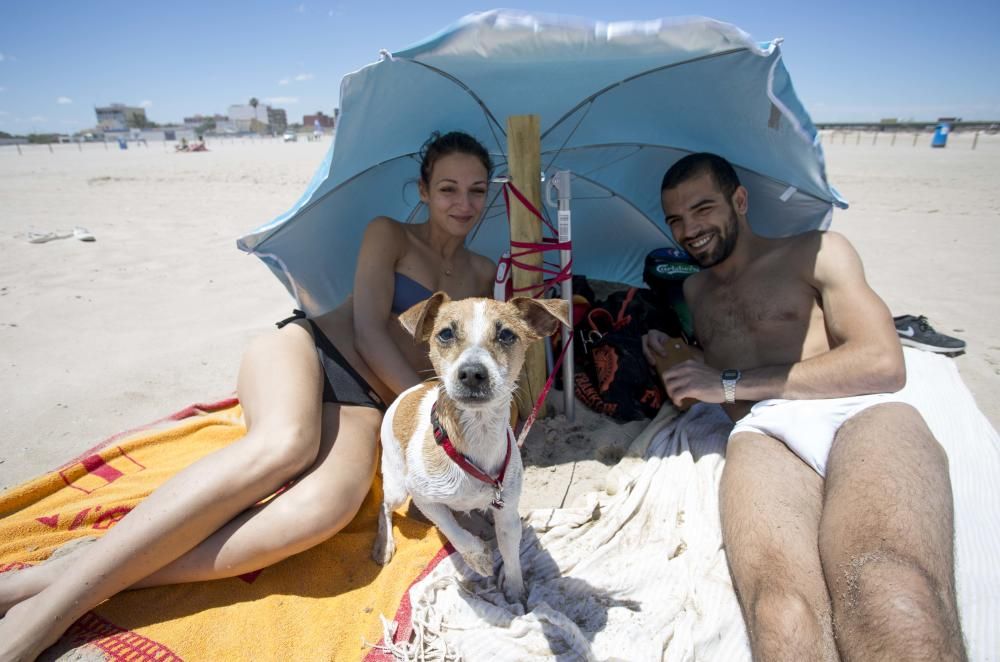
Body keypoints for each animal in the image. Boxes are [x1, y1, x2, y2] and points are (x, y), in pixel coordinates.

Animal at [372, 294, 572, 604]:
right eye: (445, 333)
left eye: (506, 335)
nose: (472, 373)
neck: (477, 437)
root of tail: (407, 393)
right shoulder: (425, 499)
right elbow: (454, 531)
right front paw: (478, 558)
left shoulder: (507, 512)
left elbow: (511, 552)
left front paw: (515, 591)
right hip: (398, 489)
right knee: (384, 505)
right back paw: (384, 544)